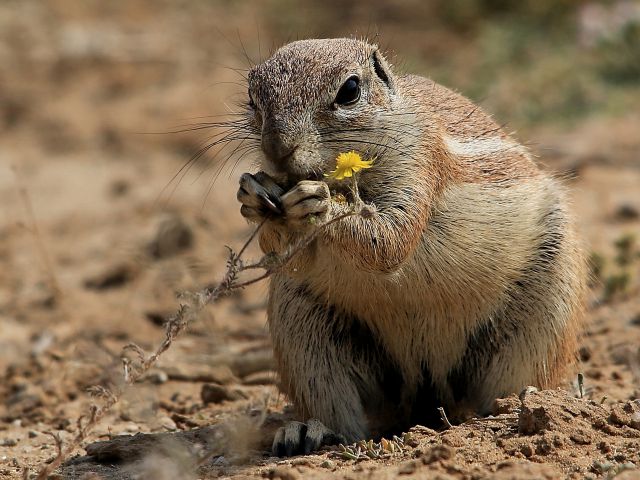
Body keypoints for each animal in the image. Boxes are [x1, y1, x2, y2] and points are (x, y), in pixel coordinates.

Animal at [235, 36, 584, 454]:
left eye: (349, 90)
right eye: (252, 97)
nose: (276, 149)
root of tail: (427, 389)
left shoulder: (418, 165)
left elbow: (391, 241)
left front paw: (320, 201)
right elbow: (287, 256)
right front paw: (253, 197)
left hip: (540, 319)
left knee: (509, 385)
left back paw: (513, 411)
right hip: (305, 332)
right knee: (341, 409)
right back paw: (309, 432)